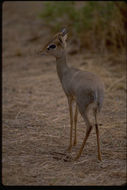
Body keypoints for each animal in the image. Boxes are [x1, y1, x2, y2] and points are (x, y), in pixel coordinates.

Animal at [41, 29, 104, 161]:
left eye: (52, 45)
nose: (42, 51)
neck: (66, 72)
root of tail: (96, 89)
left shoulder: (69, 97)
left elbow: (70, 118)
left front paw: (69, 147)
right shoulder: (75, 99)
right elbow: (75, 119)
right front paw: (74, 143)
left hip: (83, 107)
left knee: (89, 125)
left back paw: (77, 156)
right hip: (96, 109)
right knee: (96, 125)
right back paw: (99, 156)